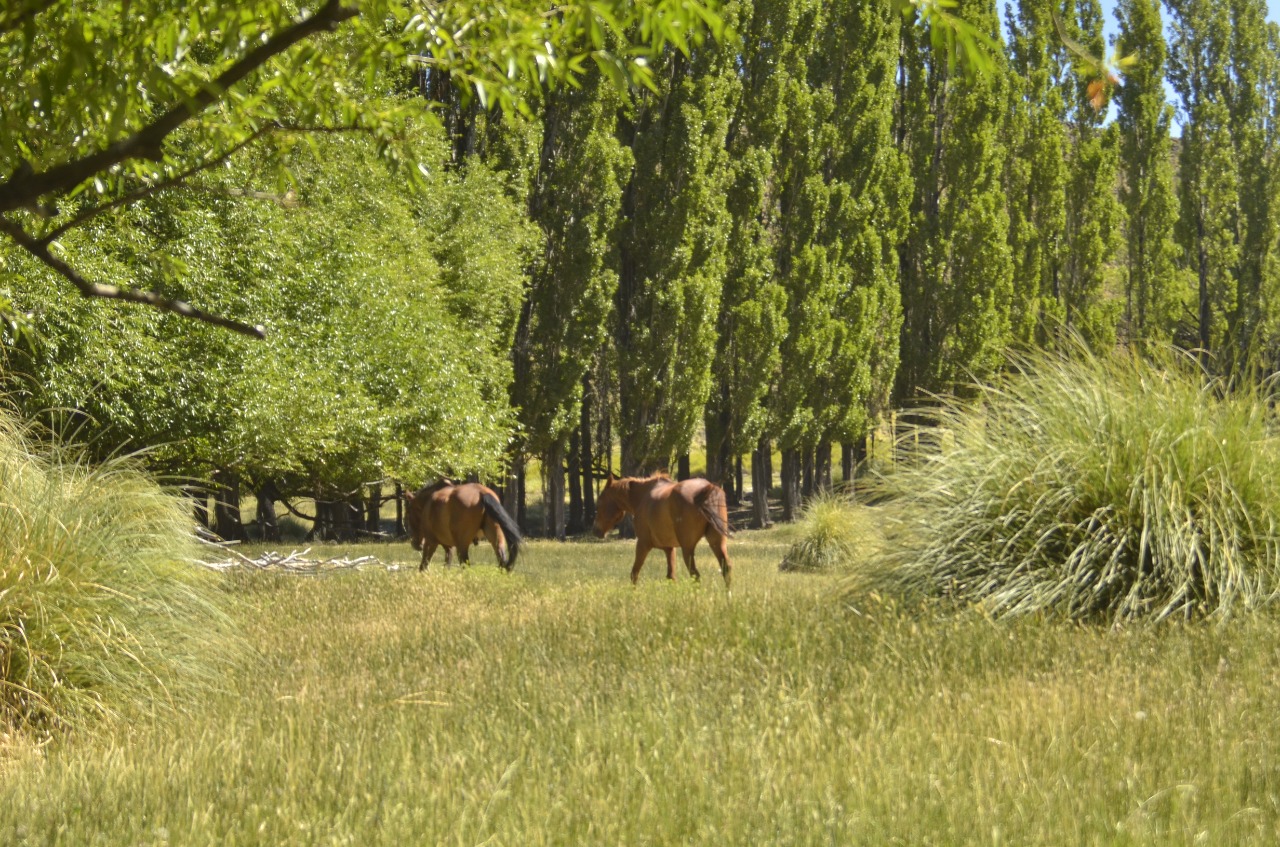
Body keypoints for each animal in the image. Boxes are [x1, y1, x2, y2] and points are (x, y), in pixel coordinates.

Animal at [588, 473, 732, 588]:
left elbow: (634, 574)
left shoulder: (643, 544)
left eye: (599, 503)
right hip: (717, 544)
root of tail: (707, 489)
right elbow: (671, 577)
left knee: (695, 575)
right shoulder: (669, 549)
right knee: (726, 569)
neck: (642, 497)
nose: (595, 530)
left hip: (688, 549)